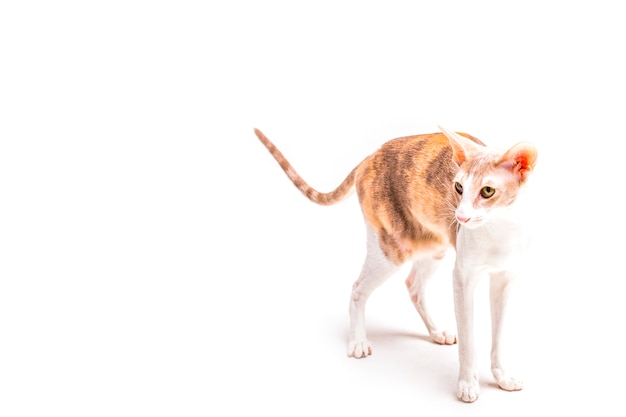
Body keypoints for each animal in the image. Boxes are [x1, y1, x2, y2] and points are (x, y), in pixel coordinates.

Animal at [251, 126, 532, 400]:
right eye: (458, 187)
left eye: (487, 191)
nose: (460, 217)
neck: (497, 231)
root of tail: (370, 156)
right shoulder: (463, 279)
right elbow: (468, 340)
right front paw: (467, 385)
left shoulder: (504, 281)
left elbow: (499, 336)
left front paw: (502, 377)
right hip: (390, 249)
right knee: (358, 288)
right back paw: (358, 341)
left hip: (435, 246)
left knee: (413, 286)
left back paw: (435, 332)